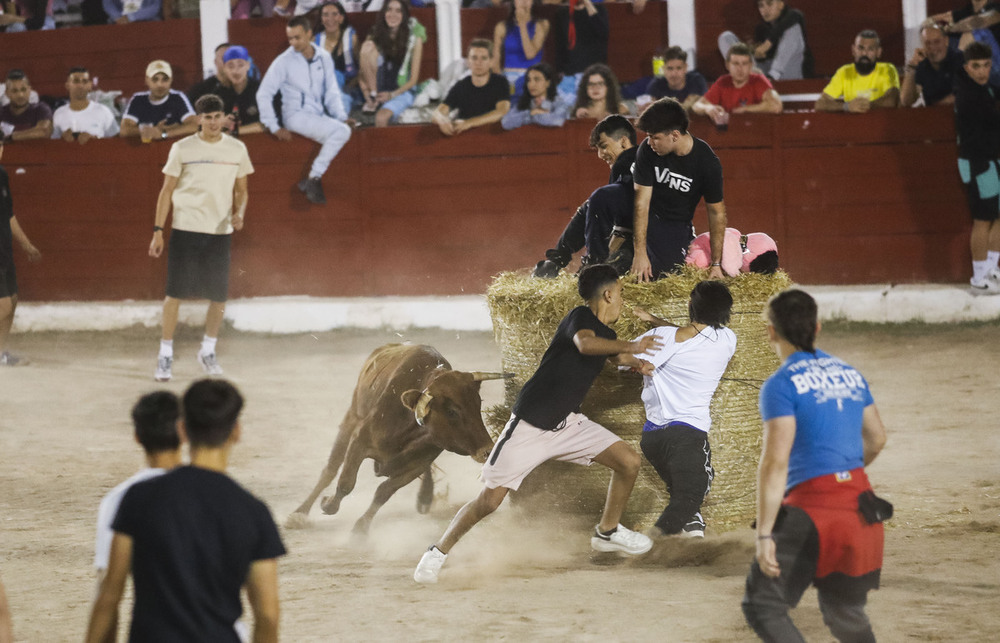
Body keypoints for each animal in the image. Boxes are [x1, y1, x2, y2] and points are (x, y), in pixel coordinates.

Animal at [288, 344, 508, 536]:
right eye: (452, 411)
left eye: (478, 404)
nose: (488, 451)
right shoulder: (359, 441)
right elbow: (346, 483)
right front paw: (328, 504)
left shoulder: (418, 463)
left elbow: (383, 492)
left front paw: (361, 528)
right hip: (350, 418)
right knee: (330, 470)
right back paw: (299, 513)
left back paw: (425, 497)